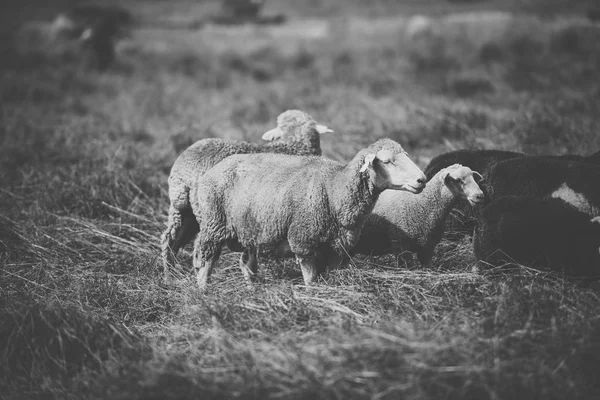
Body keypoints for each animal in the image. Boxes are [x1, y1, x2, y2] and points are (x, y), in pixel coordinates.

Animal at [161, 109, 332, 282]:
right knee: (200, 250)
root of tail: (184, 172)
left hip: (183, 211)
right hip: (209, 215)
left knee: (170, 241)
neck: (293, 144)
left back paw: (169, 276)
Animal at [189, 139, 426, 290]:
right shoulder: (304, 241)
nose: (422, 179)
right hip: (213, 225)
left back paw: (252, 291)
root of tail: (213, 169)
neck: (335, 188)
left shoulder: (337, 248)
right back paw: (203, 292)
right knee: (205, 262)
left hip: (252, 229)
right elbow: (311, 281)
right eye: (386, 161)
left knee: (246, 264)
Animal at [354, 162, 486, 266]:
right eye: (458, 180)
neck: (423, 203)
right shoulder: (401, 245)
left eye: (473, 178)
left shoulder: (427, 248)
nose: (480, 196)